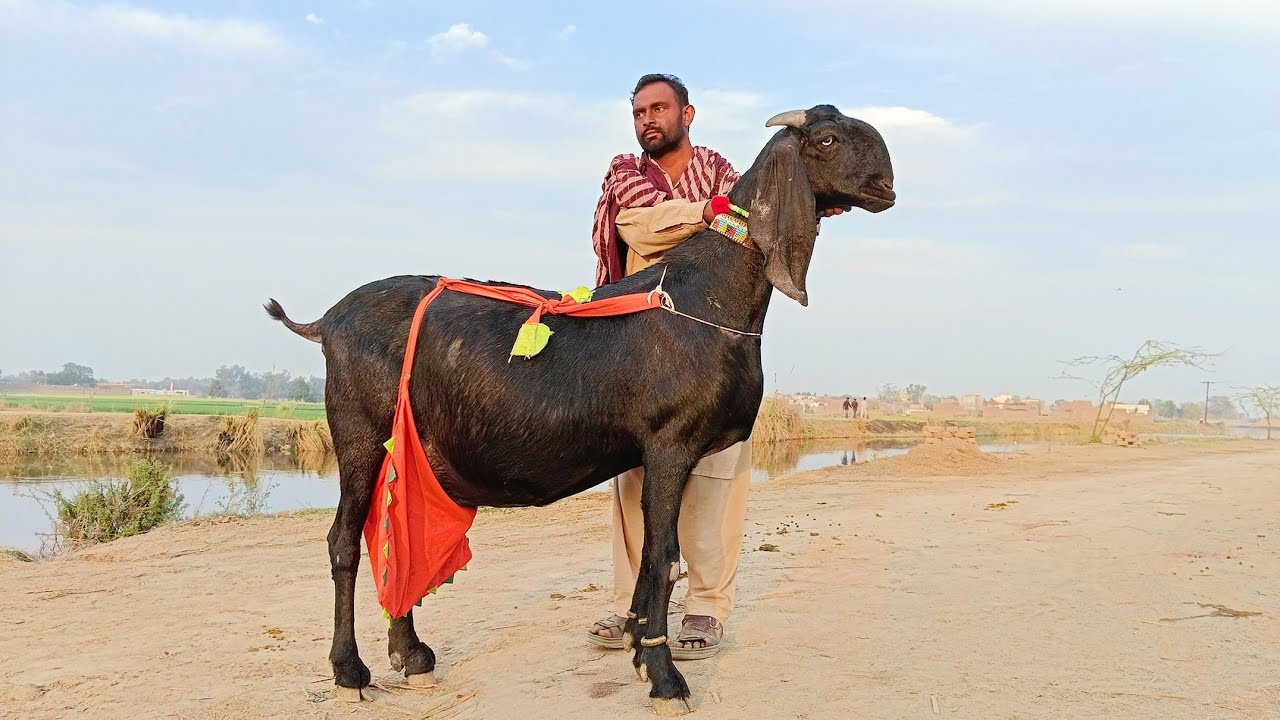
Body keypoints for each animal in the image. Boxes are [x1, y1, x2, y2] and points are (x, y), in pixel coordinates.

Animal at [266, 104, 895, 716]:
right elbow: (663, 556)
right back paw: (350, 670)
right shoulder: (670, 441)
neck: (704, 294)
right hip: (359, 432)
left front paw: (641, 651)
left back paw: (412, 654)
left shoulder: (672, 451)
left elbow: (654, 555)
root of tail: (327, 320)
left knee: (398, 528)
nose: (887, 184)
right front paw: (664, 678)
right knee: (345, 540)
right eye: (828, 140)